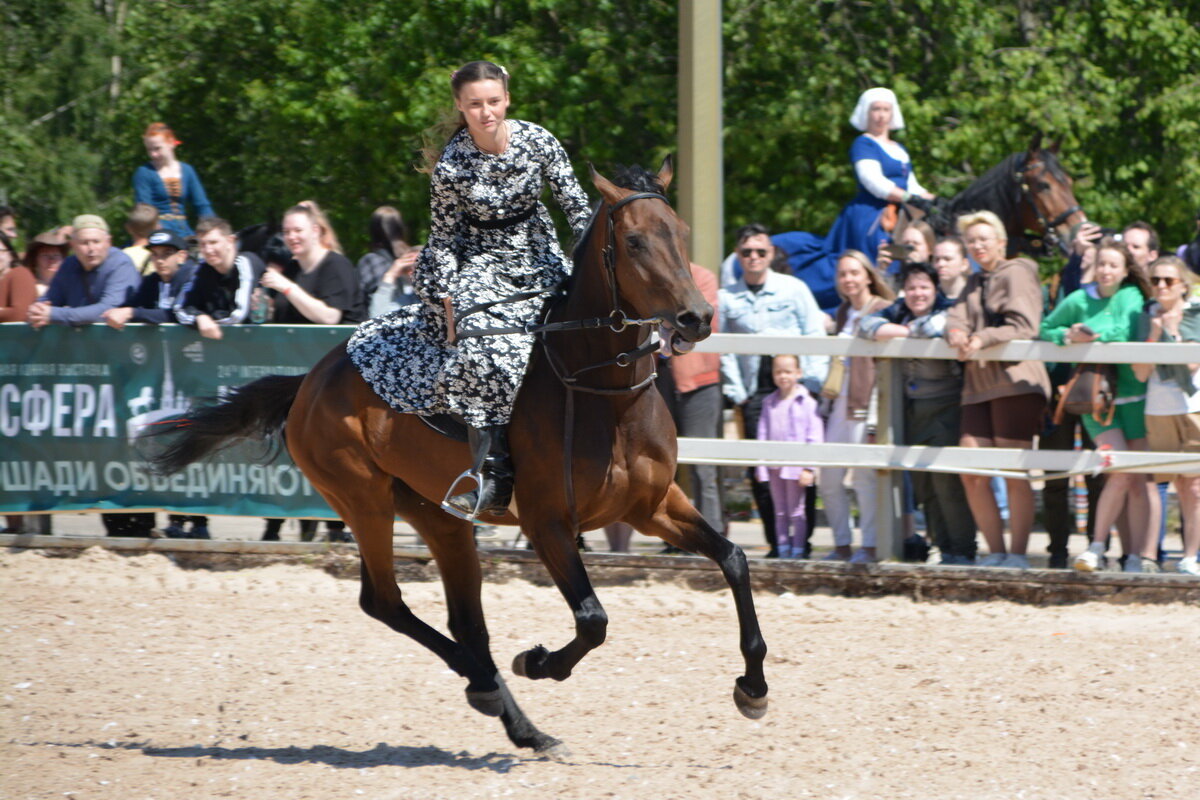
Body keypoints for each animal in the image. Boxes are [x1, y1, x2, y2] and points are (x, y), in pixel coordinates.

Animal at [150, 158, 768, 758]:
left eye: (681, 232)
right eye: (636, 242)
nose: (696, 317)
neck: (602, 394)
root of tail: (310, 382)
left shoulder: (652, 505)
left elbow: (734, 558)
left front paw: (753, 687)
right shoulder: (547, 524)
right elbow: (593, 620)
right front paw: (538, 662)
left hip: (437, 518)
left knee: (465, 622)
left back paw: (519, 722)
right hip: (364, 501)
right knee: (386, 602)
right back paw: (489, 687)